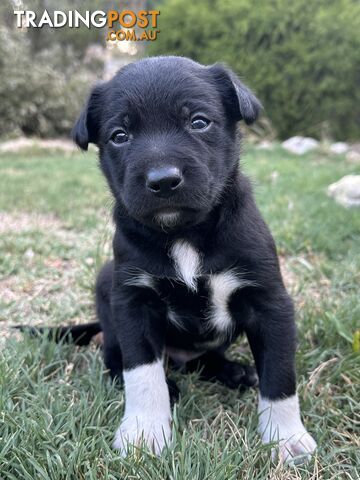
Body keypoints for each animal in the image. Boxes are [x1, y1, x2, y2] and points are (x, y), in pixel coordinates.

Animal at [60, 55, 316, 462]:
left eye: (198, 122)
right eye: (120, 135)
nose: (163, 180)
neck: (183, 234)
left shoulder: (269, 301)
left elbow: (279, 375)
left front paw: (285, 437)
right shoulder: (133, 301)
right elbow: (141, 372)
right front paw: (145, 431)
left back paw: (233, 372)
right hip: (106, 284)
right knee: (114, 357)